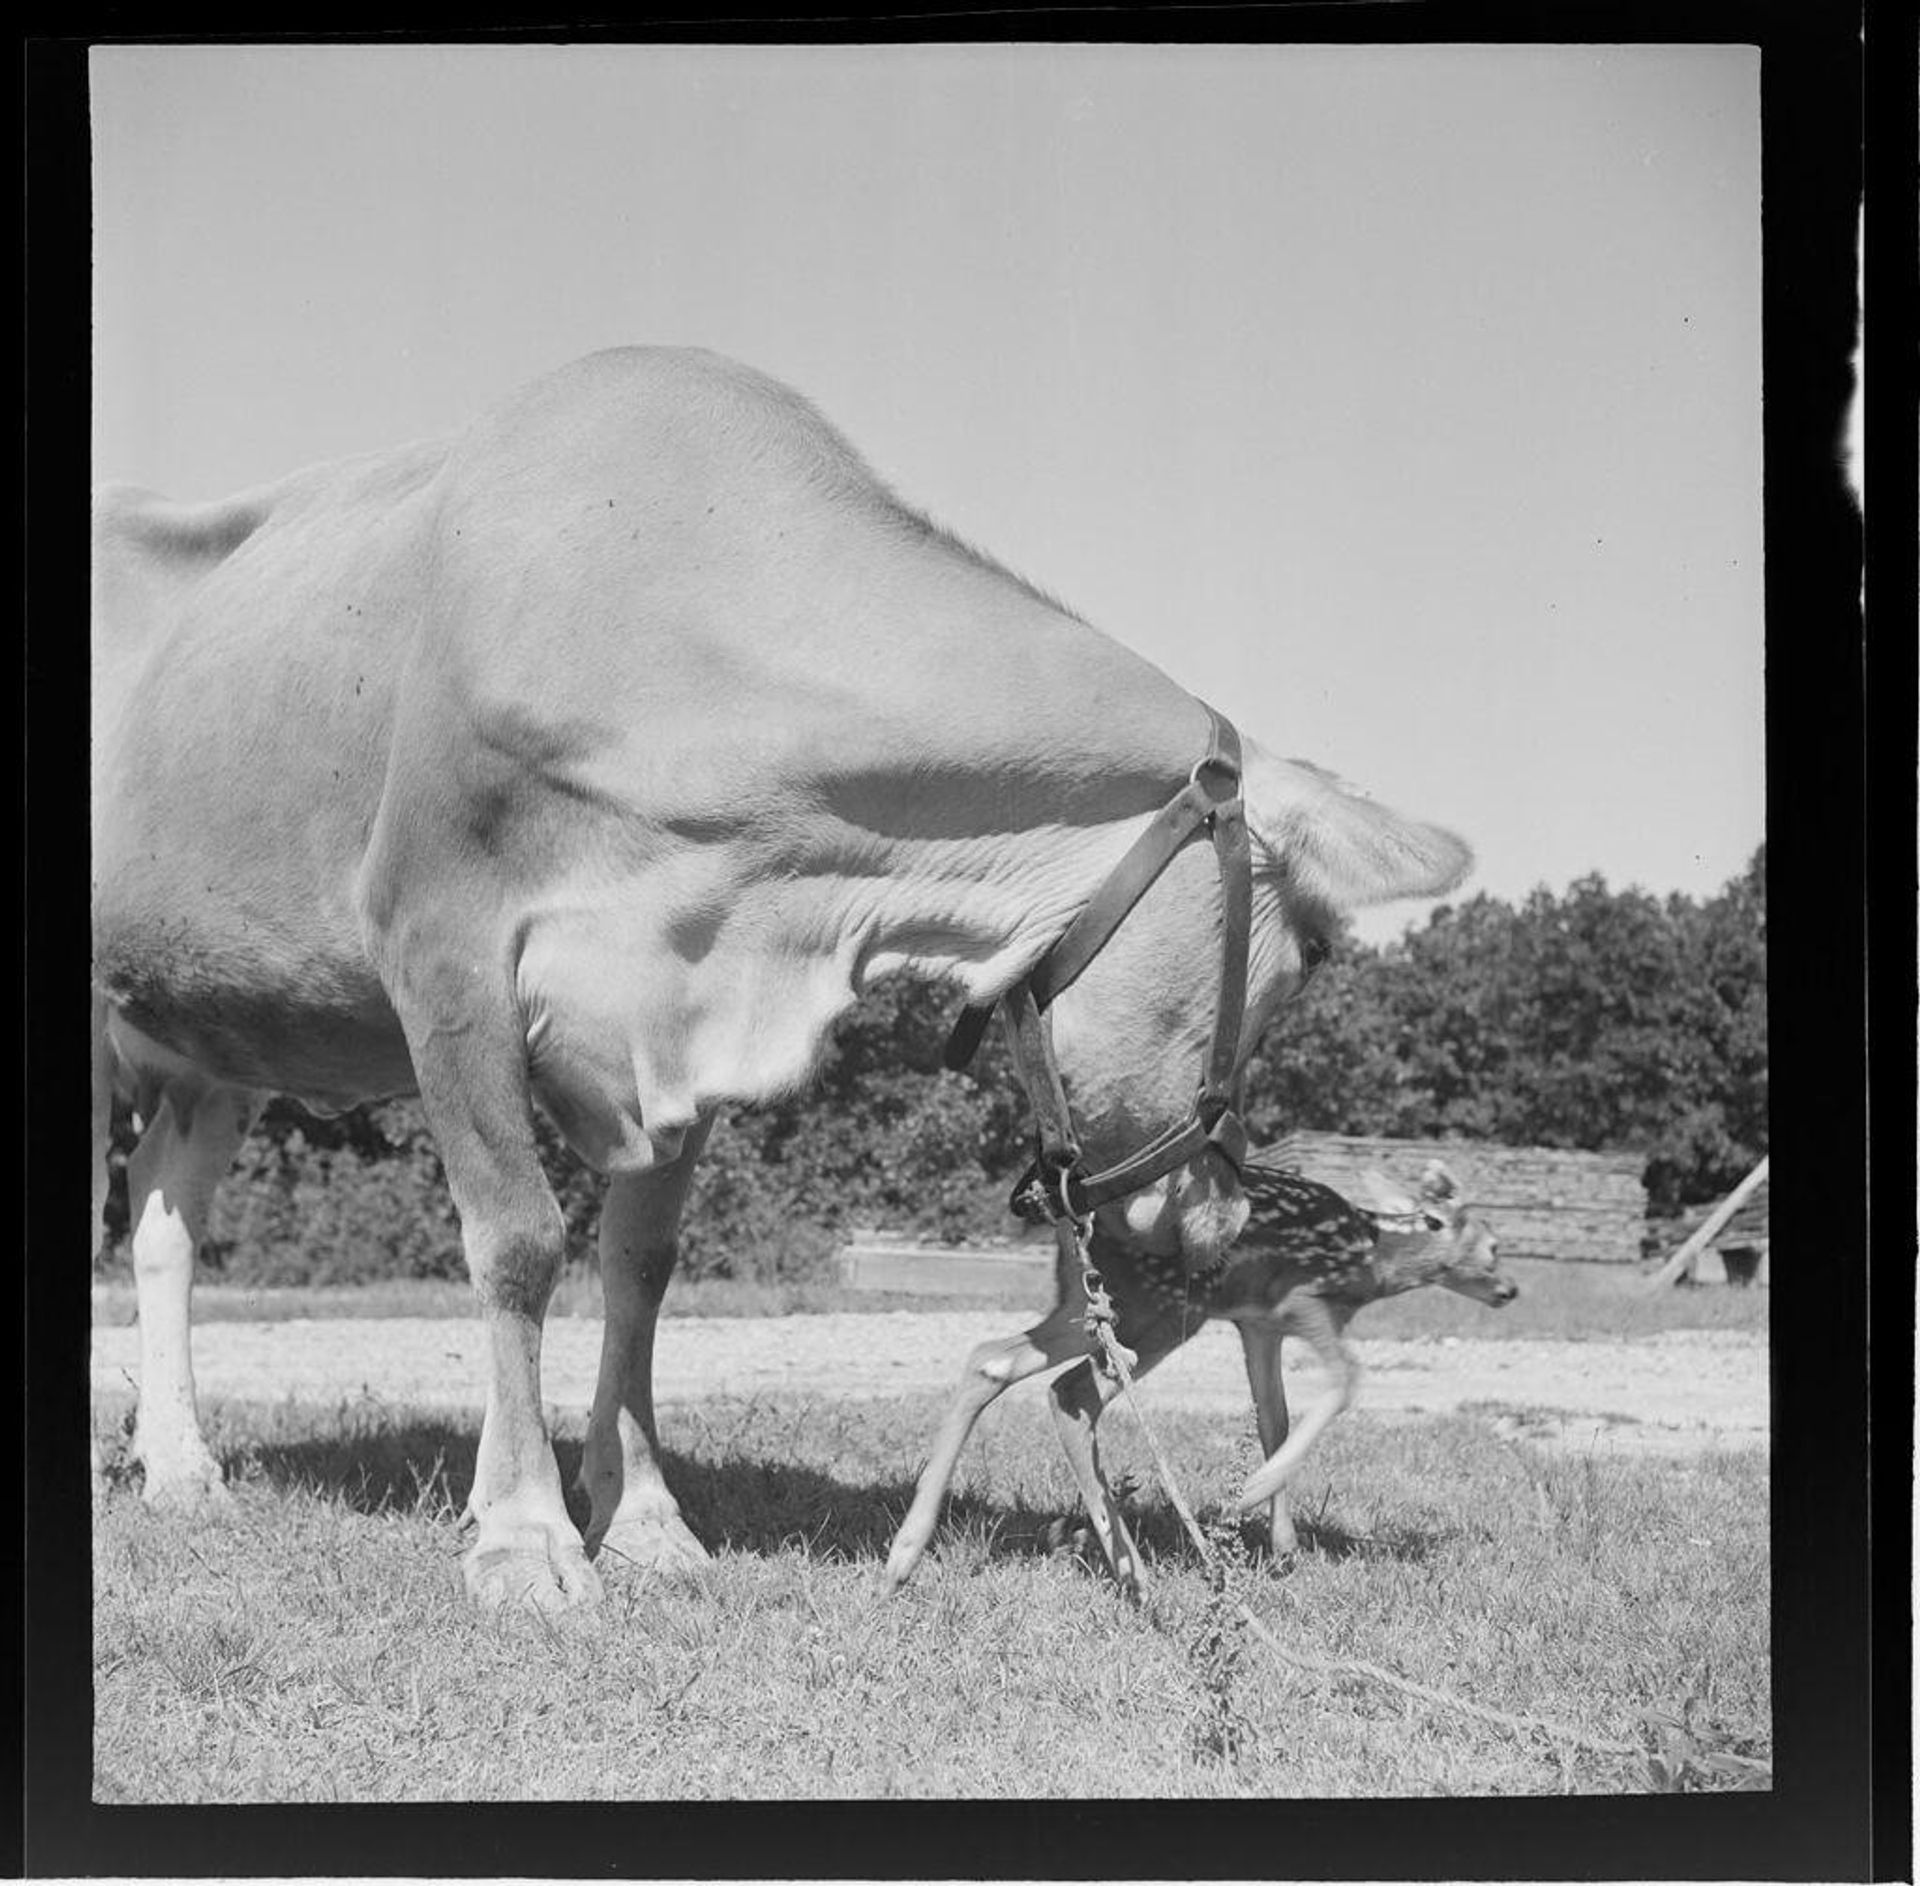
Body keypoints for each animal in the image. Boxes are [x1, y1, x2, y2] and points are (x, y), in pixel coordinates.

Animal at [883, 1159, 1514, 1594]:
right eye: (1492, 1246)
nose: (1509, 1289)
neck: (1369, 1264)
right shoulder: (1303, 1300)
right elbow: (1347, 1380)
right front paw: (1247, 1497)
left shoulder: (1258, 1325)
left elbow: (1274, 1419)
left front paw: (1284, 1547)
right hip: (1161, 1308)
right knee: (1072, 1392)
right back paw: (1131, 1571)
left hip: (1096, 1304)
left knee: (992, 1357)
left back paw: (907, 1556)